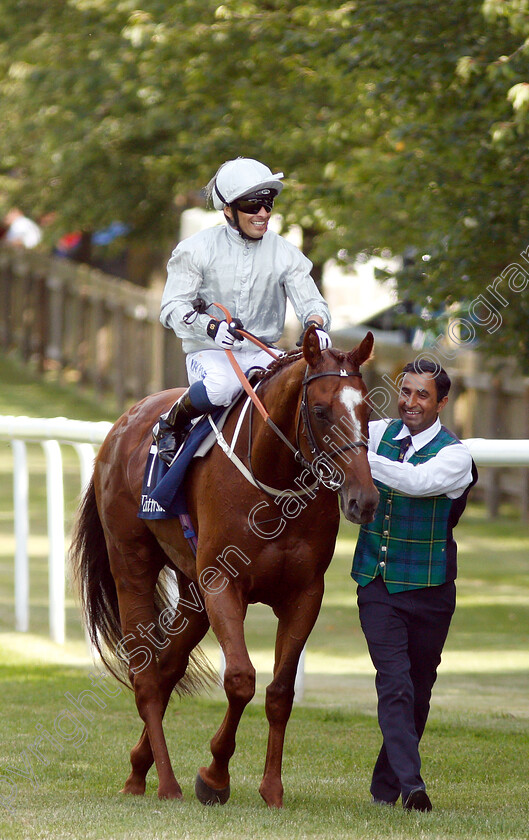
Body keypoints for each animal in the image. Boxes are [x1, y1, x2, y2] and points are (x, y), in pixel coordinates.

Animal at [70, 326, 378, 808]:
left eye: (366, 409)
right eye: (321, 410)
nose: (363, 500)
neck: (274, 485)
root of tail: (124, 422)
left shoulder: (305, 594)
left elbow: (279, 692)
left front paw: (272, 789)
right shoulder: (223, 584)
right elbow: (240, 680)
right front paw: (214, 777)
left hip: (191, 592)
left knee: (167, 667)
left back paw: (139, 768)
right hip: (132, 564)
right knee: (146, 677)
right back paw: (165, 783)